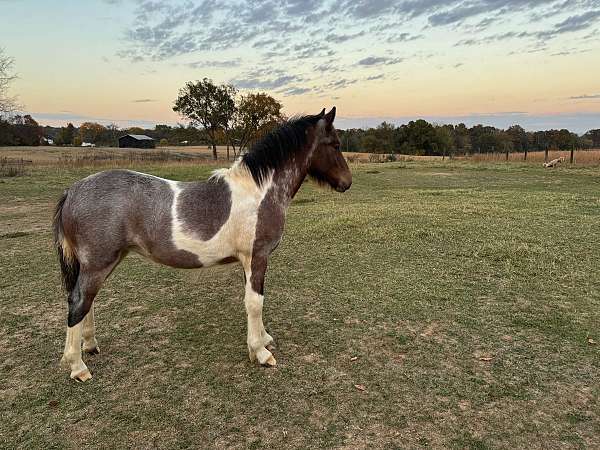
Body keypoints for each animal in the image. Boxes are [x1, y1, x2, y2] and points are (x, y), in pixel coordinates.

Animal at [55, 107, 352, 382]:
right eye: (335, 144)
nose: (347, 182)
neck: (259, 191)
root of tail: (73, 191)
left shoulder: (247, 261)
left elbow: (252, 301)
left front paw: (264, 339)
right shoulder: (257, 257)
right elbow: (255, 302)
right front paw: (261, 352)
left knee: (88, 301)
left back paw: (90, 346)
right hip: (97, 264)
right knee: (78, 302)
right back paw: (78, 366)